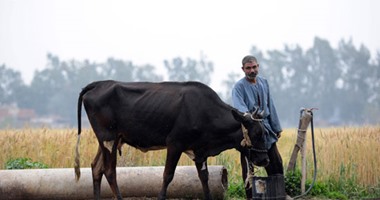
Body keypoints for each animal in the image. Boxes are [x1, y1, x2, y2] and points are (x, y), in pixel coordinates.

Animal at [74, 80, 268, 199]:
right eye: (257, 133)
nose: (264, 159)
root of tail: (99, 84)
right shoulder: (175, 144)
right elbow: (167, 175)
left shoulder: (199, 150)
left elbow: (204, 178)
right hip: (109, 139)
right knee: (109, 171)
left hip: (110, 140)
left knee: (96, 168)